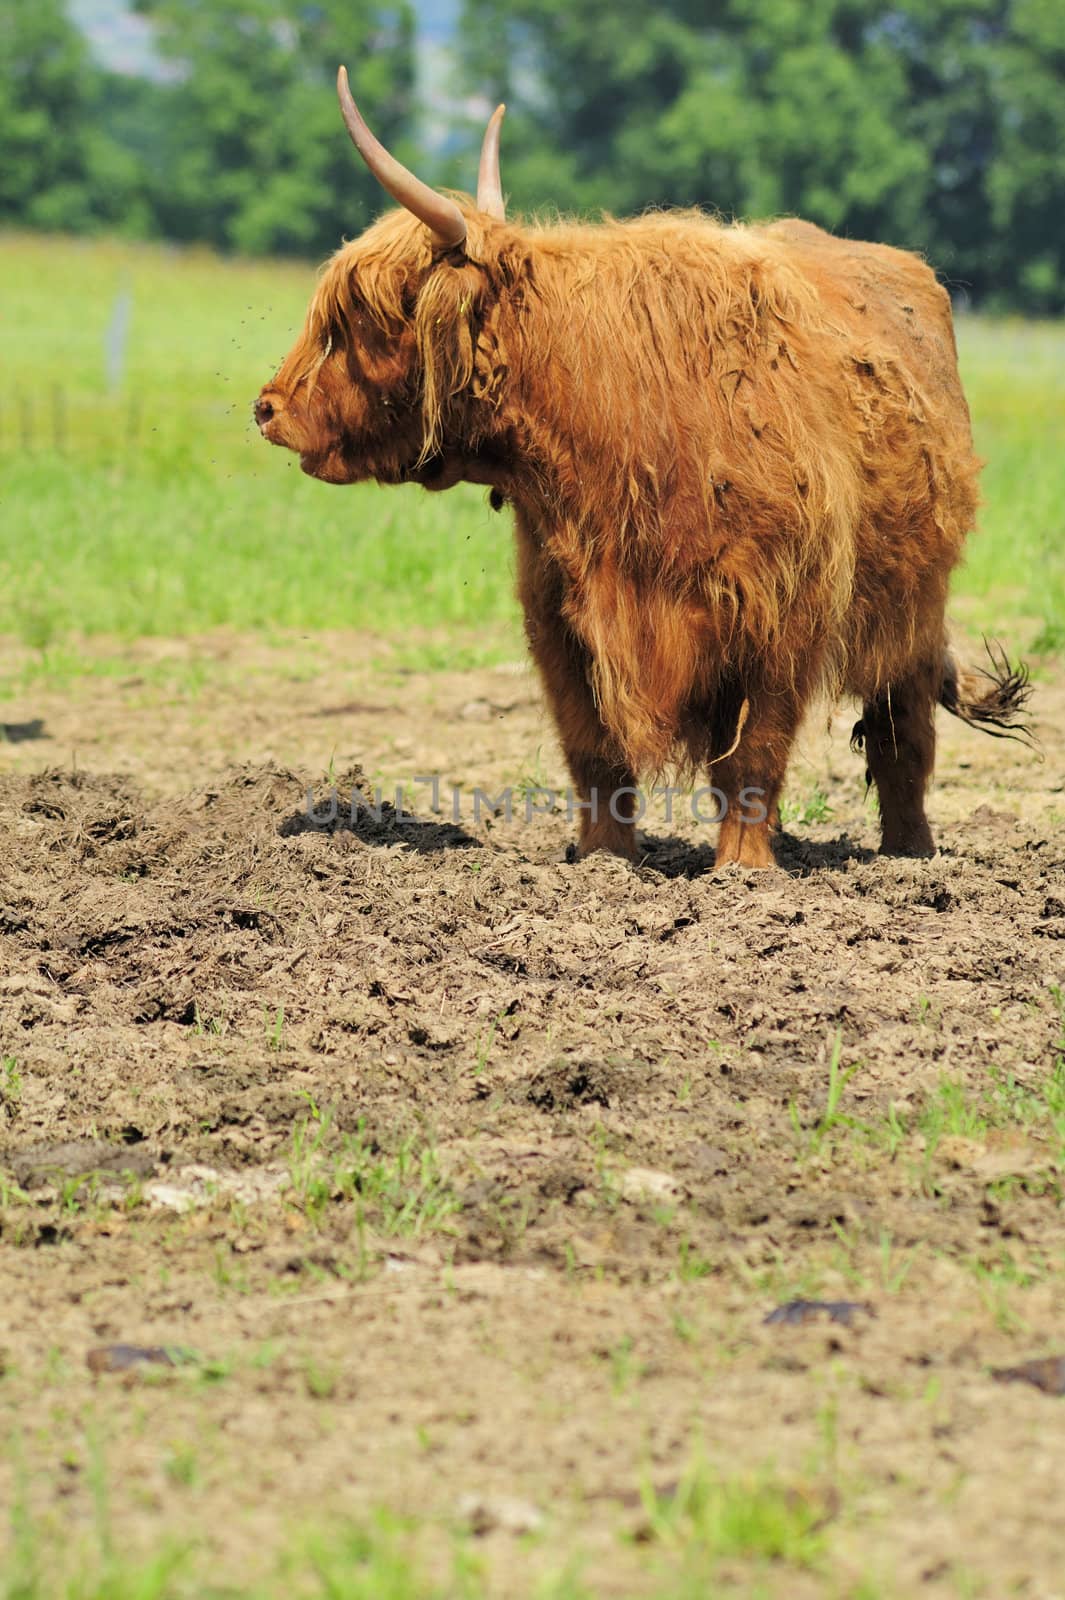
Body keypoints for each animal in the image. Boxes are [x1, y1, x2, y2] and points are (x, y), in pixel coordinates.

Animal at [252, 68, 1023, 870]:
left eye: (361, 318)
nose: (267, 407)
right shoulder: (560, 611)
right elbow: (593, 750)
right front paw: (602, 861)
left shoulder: (784, 607)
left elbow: (755, 754)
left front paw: (742, 871)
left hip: (914, 605)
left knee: (904, 738)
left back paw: (911, 856)